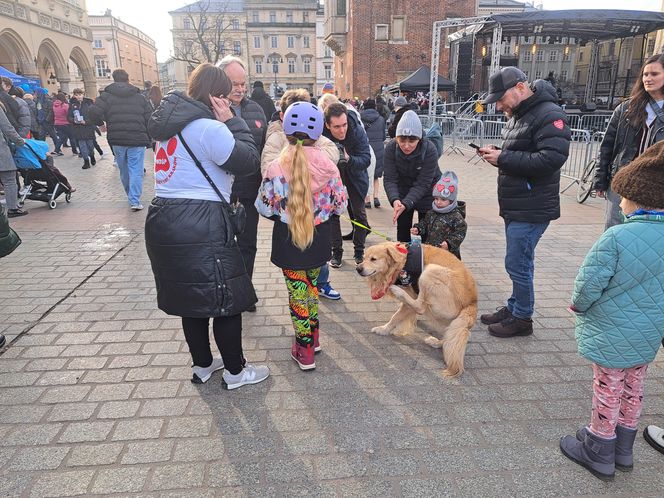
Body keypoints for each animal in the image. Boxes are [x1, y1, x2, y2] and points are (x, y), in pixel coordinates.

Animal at [358, 241, 478, 378]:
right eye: (363, 258)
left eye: (373, 259)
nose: (358, 268)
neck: (401, 263)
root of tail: (472, 303)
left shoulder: (410, 296)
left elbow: (396, 317)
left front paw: (383, 330)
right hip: (451, 321)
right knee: (449, 334)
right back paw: (437, 342)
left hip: (430, 271)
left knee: (420, 306)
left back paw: (398, 292)